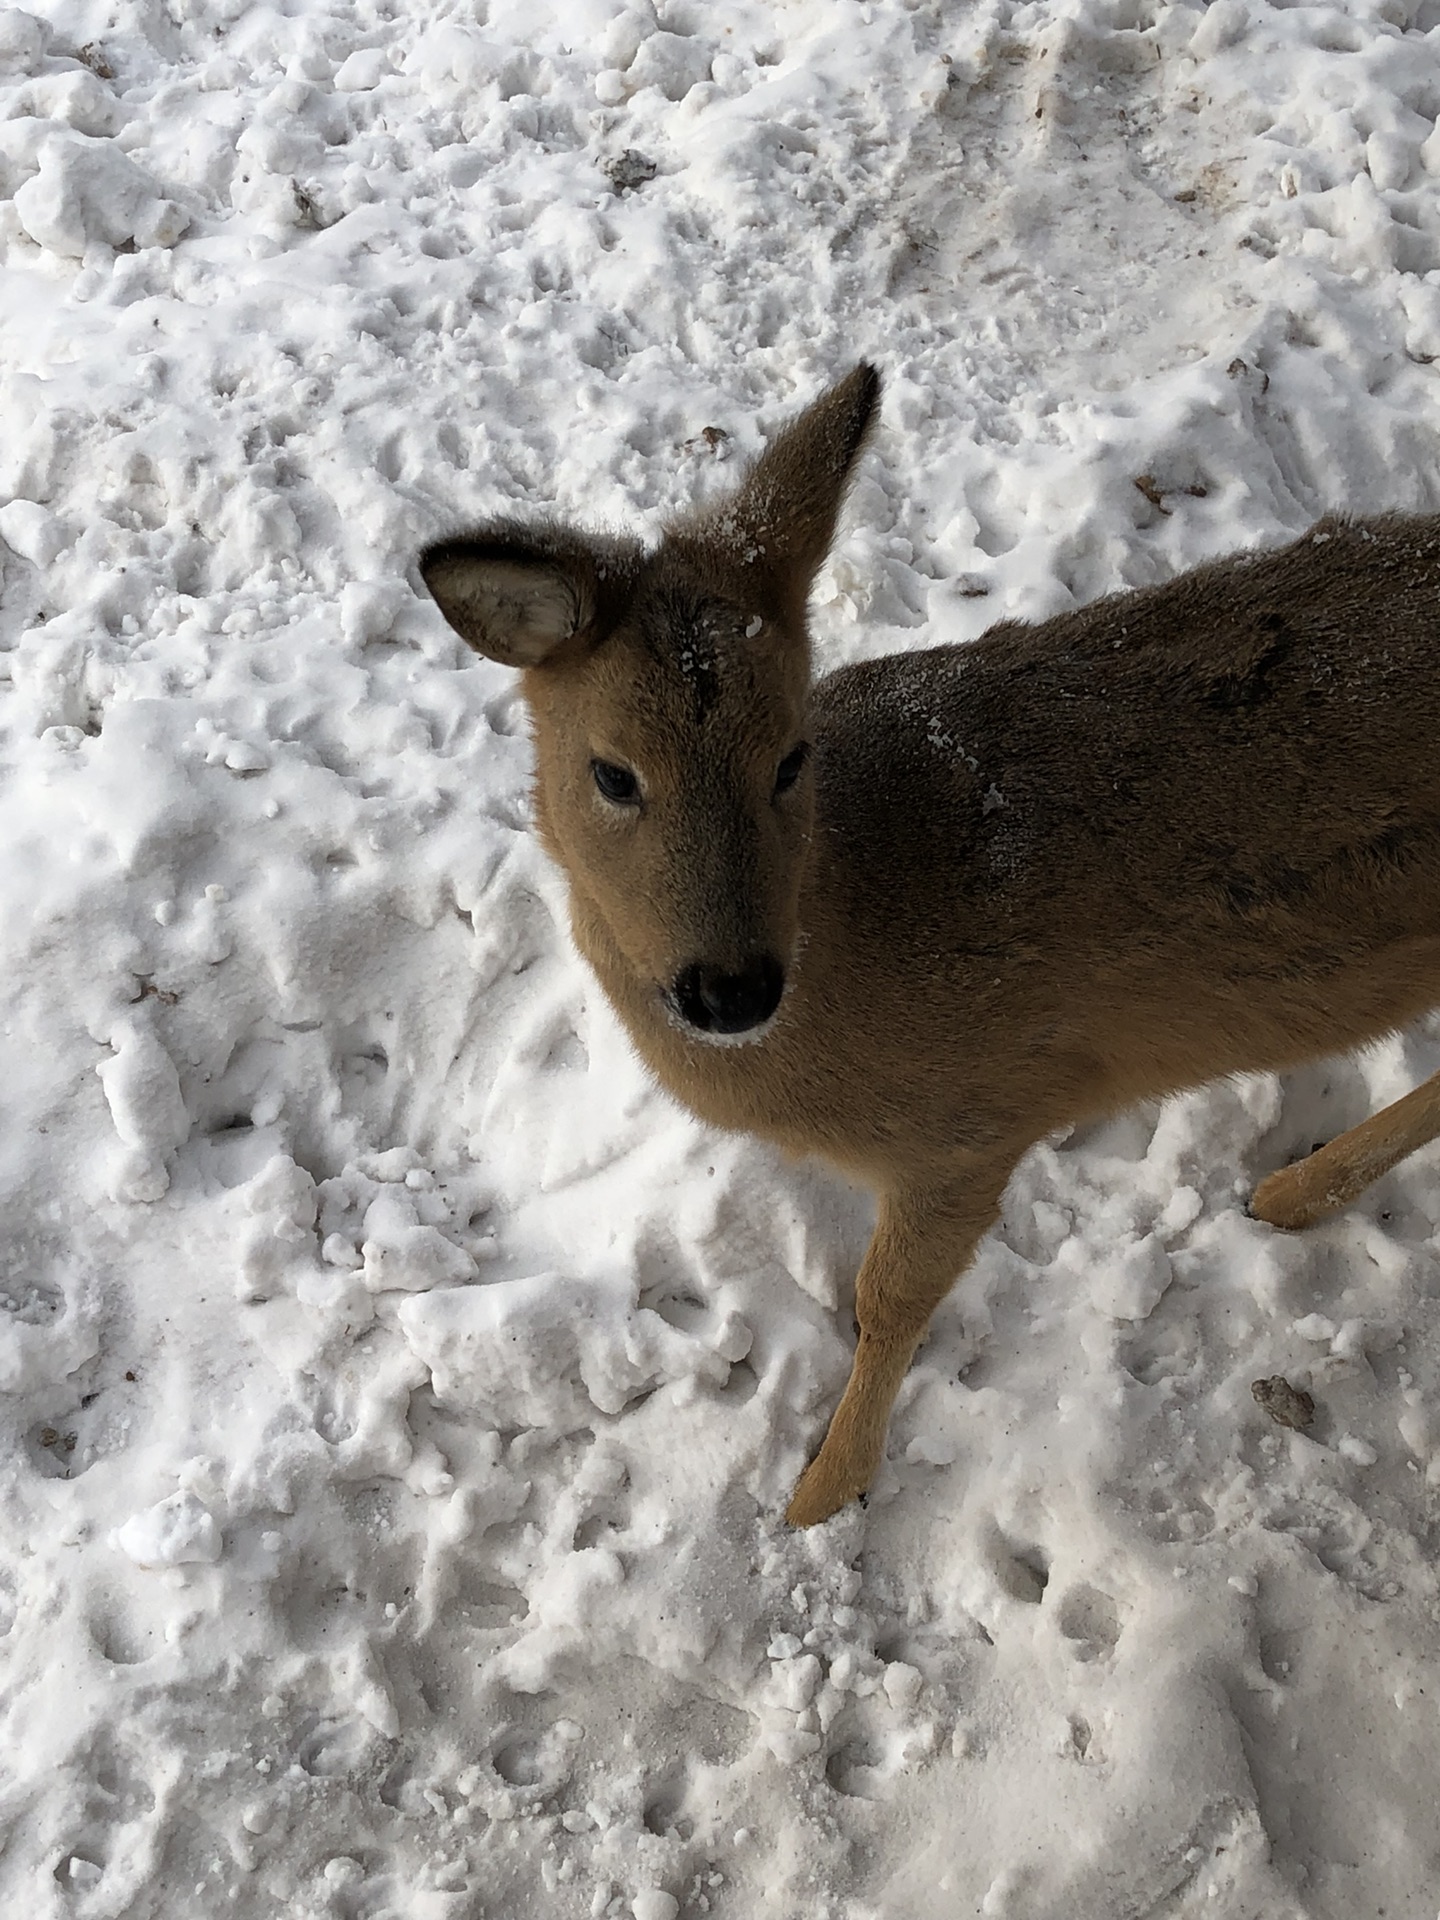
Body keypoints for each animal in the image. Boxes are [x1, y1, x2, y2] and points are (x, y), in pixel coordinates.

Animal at [420, 366, 1440, 1520]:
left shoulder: (979, 1118)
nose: (732, 988)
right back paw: (1292, 1192)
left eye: (793, 756)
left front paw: (820, 1495)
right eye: (612, 773)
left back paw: (1293, 1191)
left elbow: (888, 1300)